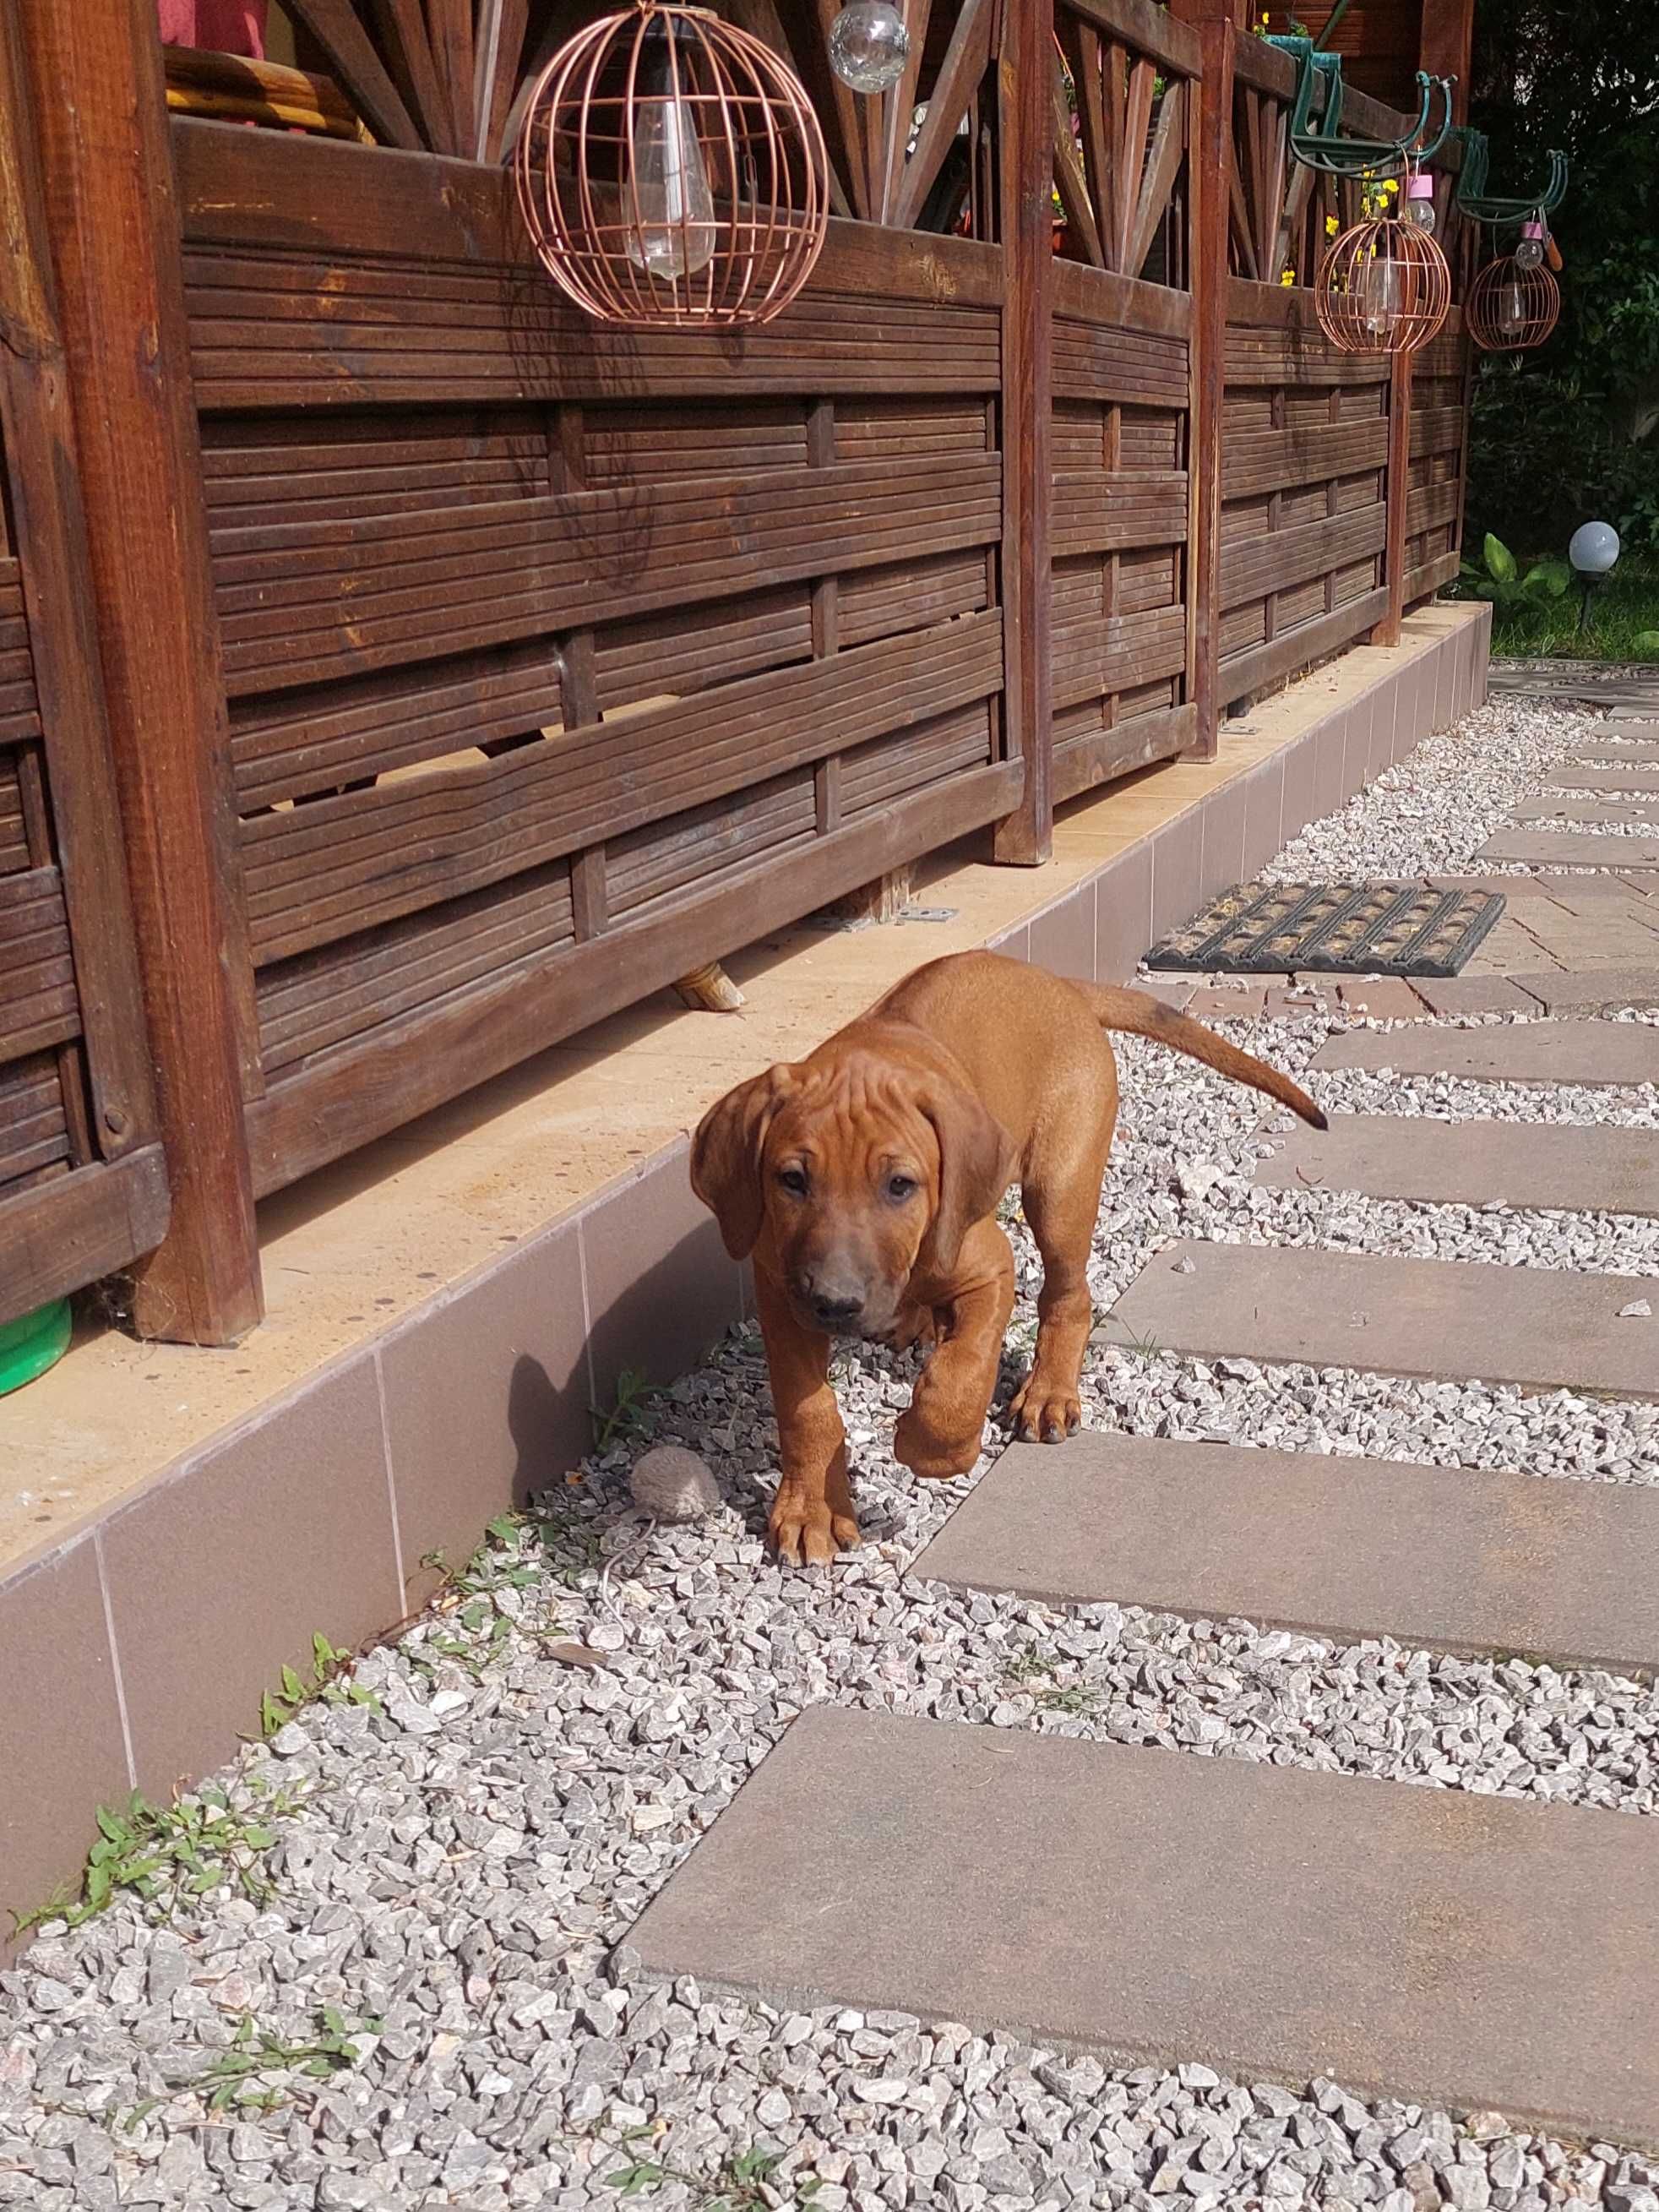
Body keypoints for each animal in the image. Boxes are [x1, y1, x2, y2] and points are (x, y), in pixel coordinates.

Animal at [690, 946, 1327, 1557]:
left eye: (900, 1185)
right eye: (792, 1180)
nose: (835, 1304)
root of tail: (1056, 983)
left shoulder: (990, 1266)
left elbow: (964, 1372)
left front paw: (930, 1446)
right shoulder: (780, 1293)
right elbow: (807, 1410)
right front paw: (812, 1512)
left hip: (1060, 1189)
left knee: (1069, 1297)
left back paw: (1048, 1393)